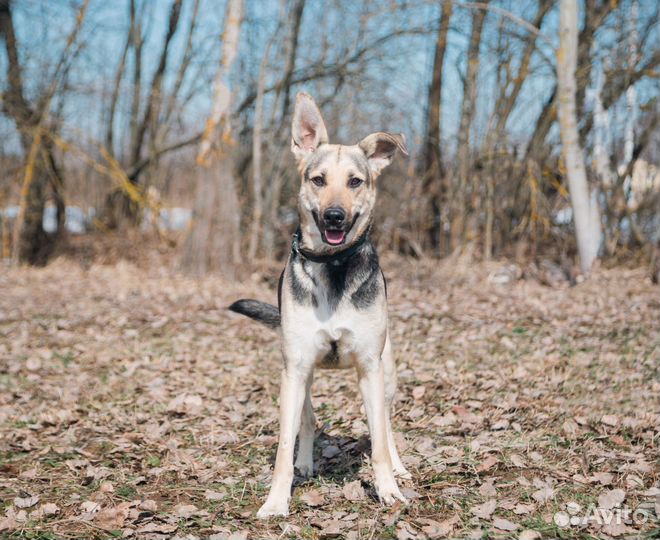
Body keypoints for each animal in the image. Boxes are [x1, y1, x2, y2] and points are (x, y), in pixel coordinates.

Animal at [229, 93, 410, 520]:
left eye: (355, 181)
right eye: (318, 179)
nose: (334, 216)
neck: (334, 265)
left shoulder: (370, 368)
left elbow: (379, 441)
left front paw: (387, 490)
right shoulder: (294, 370)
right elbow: (284, 445)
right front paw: (276, 501)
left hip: (388, 372)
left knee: (386, 424)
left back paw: (398, 467)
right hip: (303, 375)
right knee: (308, 421)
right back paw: (305, 463)